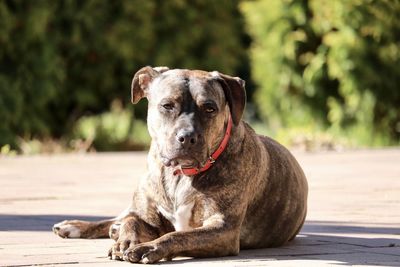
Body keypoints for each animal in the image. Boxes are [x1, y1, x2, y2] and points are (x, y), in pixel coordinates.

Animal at [52, 66, 310, 264]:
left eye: (210, 108)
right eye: (167, 105)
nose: (187, 136)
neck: (180, 174)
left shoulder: (223, 229)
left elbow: (178, 236)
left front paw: (147, 247)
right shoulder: (148, 215)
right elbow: (133, 221)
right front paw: (125, 241)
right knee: (120, 217)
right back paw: (77, 225)